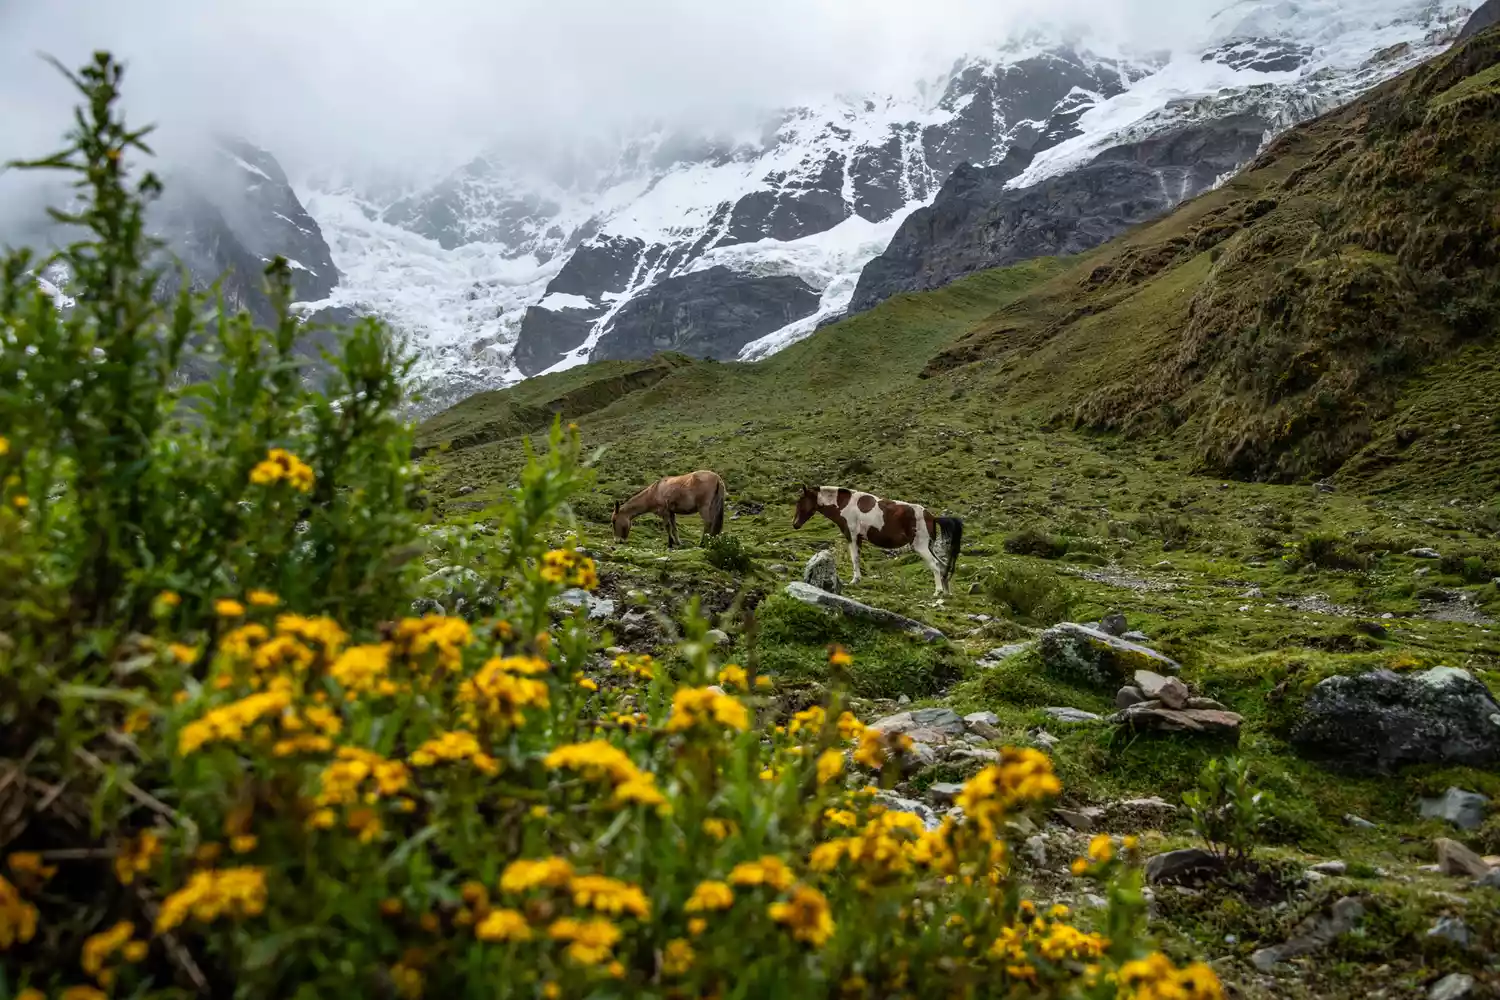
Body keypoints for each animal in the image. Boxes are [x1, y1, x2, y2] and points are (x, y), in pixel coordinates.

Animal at [792, 485, 966, 599]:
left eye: (800, 501)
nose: (795, 524)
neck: (845, 504)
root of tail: (932, 517)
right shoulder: (858, 538)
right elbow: (857, 558)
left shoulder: (852, 536)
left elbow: (854, 558)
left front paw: (854, 580)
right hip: (929, 547)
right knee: (943, 566)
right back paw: (947, 593)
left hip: (921, 547)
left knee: (935, 565)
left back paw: (938, 592)